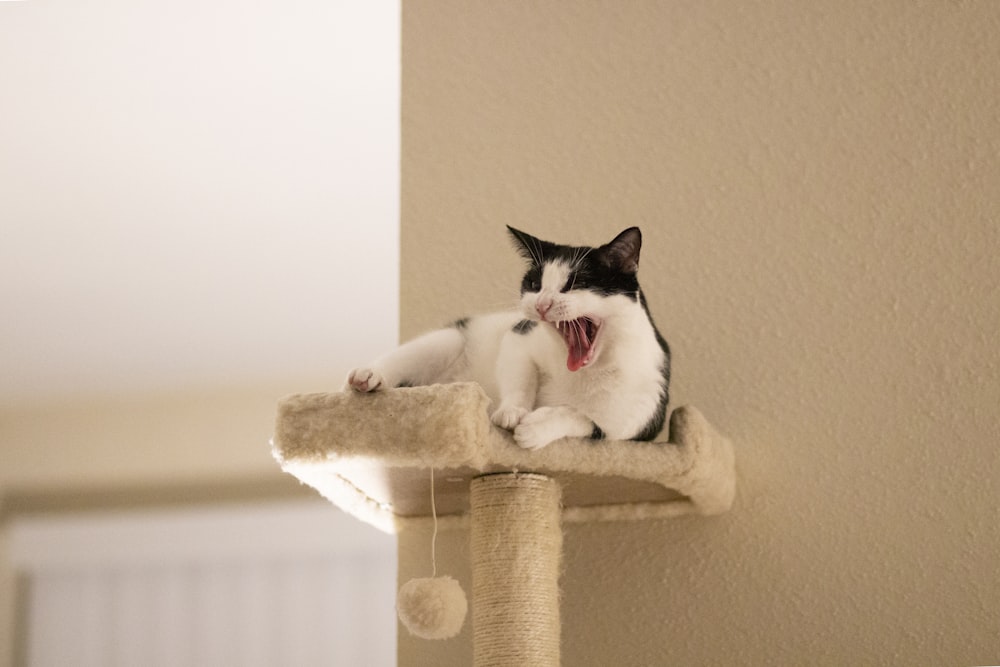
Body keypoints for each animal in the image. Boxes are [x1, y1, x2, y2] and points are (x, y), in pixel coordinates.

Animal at [346, 227, 672, 452]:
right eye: (534, 283)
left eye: (576, 282)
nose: (541, 304)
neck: (582, 372)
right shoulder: (519, 336)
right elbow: (520, 376)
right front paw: (512, 412)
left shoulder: (638, 422)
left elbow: (582, 418)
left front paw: (536, 428)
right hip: (448, 339)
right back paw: (369, 376)